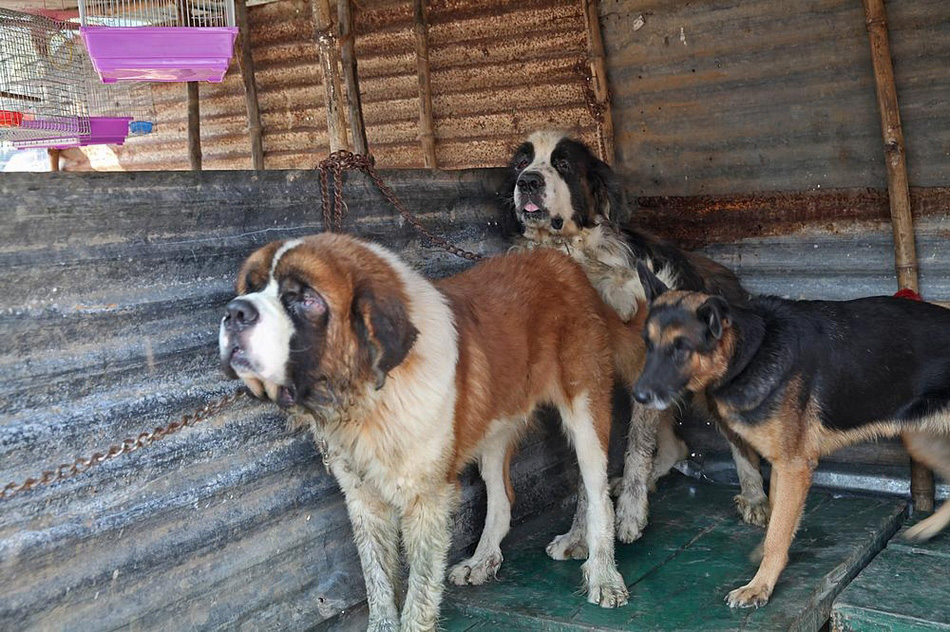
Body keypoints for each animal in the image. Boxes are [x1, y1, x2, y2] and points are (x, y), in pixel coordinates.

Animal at [218, 235, 648, 628]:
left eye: (305, 298)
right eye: (250, 287)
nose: (234, 312)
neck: (372, 395)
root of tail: (564, 265)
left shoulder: (428, 500)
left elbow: (420, 592)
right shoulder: (363, 500)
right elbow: (378, 584)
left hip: (586, 410)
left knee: (596, 491)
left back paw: (603, 573)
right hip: (494, 426)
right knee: (503, 497)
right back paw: (483, 559)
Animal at [506, 130, 772, 548]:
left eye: (563, 164)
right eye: (521, 163)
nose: (527, 181)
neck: (580, 260)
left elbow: (635, 449)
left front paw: (629, 515)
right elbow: (589, 467)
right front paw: (579, 535)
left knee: (738, 445)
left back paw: (754, 497)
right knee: (675, 446)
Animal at [632, 264, 950, 608]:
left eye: (681, 348)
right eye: (647, 344)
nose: (637, 396)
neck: (749, 352)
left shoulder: (794, 467)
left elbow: (777, 533)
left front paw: (760, 585)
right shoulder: (781, 466)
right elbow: (776, 519)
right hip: (920, 442)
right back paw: (927, 527)